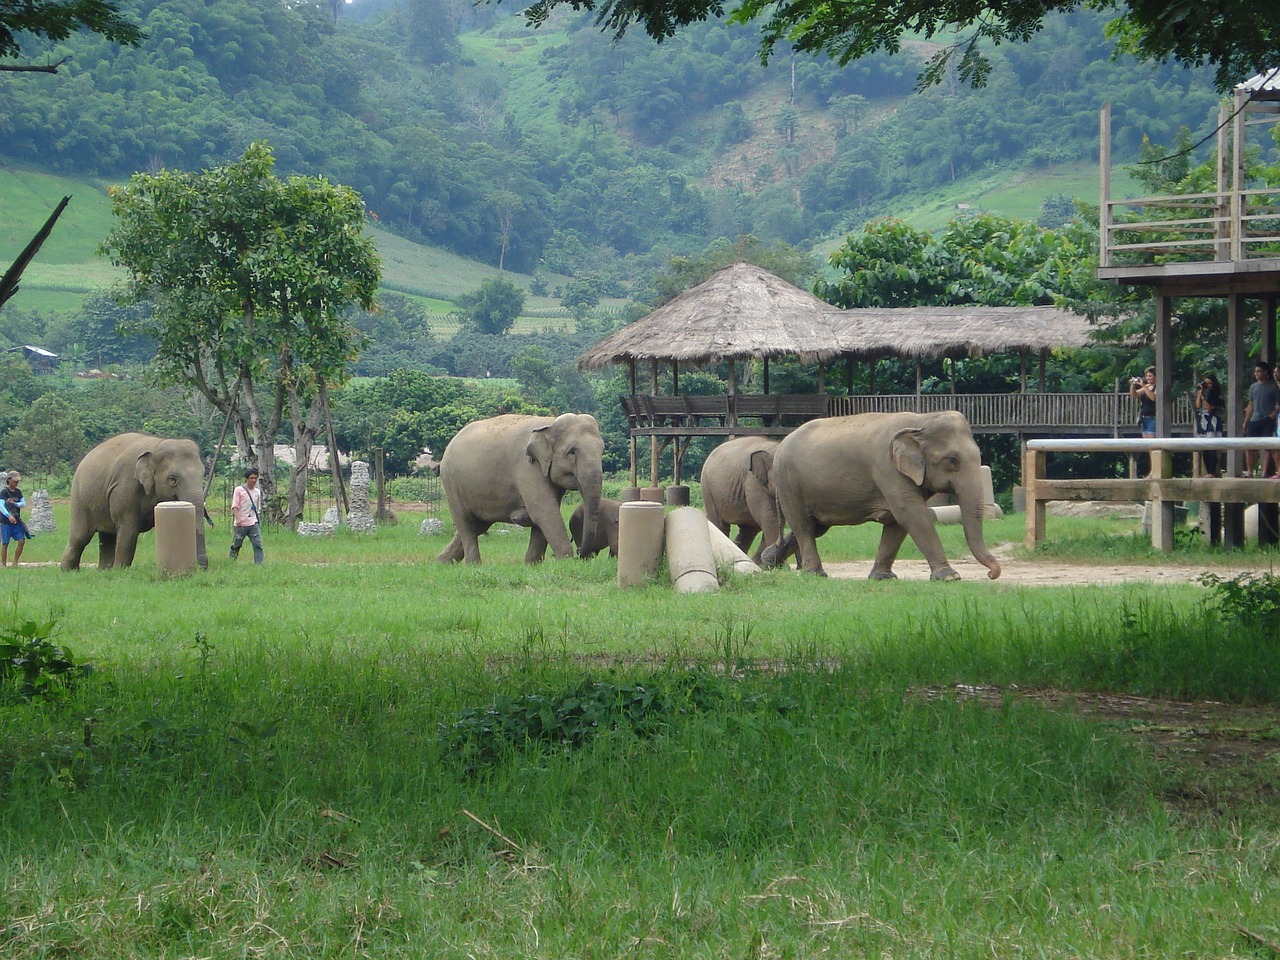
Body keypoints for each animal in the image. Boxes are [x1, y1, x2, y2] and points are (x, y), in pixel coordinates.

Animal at [60, 430, 208, 570]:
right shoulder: (125, 487)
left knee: (107, 537)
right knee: (80, 537)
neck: (157, 445)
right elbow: (128, 529)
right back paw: (69, 571)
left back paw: (104, 571)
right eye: (172, 479)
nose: (202, 568)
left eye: (203, 474)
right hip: (79, 497)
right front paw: (120, 571)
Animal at [435, 414, 604, 563]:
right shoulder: (527, 468)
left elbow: (545, 514)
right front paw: (565, 561)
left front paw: (532, 564)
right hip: (452, 483)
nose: (581, 554)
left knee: (478, 526)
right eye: (572, 452)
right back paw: (472, 564)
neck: (550, 423)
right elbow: (544, 512)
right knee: (466, 523)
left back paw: (441, 563)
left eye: (602, 451)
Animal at [757, 409, 998, 583]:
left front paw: (883, 578)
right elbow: (911, 514)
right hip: (789, 484)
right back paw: (815, 574)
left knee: (815, 527)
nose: (992, 573)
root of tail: (780, 446)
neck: (921, 420)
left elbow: (897, 522)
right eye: (952, 460)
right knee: (803, 525)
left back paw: (767, 561)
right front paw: (950, 577)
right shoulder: (887, 468)